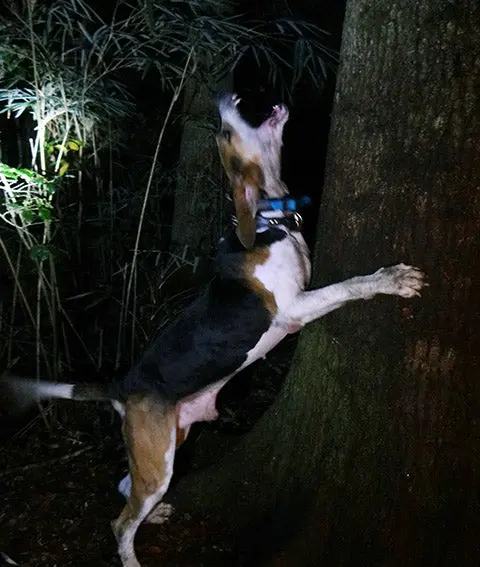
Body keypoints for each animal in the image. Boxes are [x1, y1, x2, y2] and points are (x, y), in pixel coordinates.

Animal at [0, 94, 428, 567]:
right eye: (225, 132)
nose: (225, 98)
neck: (270, 220)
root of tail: (121, 386)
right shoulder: (293, 308)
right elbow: (348, 286)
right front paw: (391, 279)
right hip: (158, 457)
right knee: (120, 522)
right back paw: (131, 555)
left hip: (173, 443)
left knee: (127, 486)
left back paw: (156, 513)